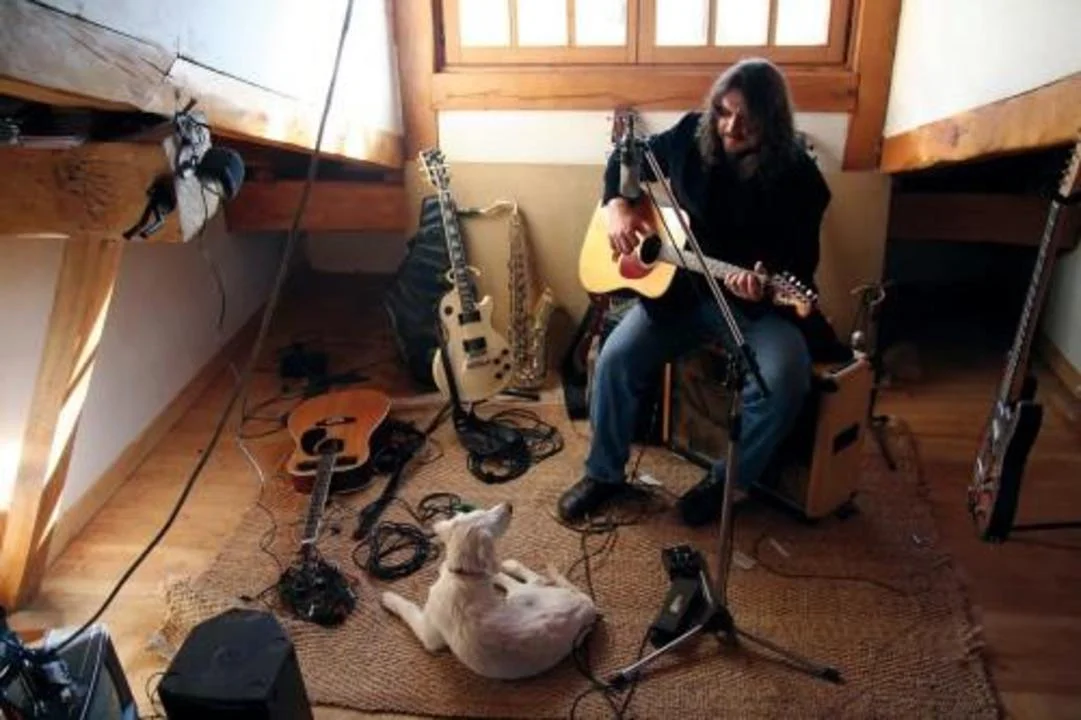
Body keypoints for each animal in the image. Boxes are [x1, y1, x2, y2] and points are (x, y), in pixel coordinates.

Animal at [380, 502, 598, 680]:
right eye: (480, 512)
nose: (509, 505)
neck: (462, 576)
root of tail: (588, 606)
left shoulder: (430, 635)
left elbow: (407, 608)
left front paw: (388, 597)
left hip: (520, 595)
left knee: (532, 579)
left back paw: (508, 566)